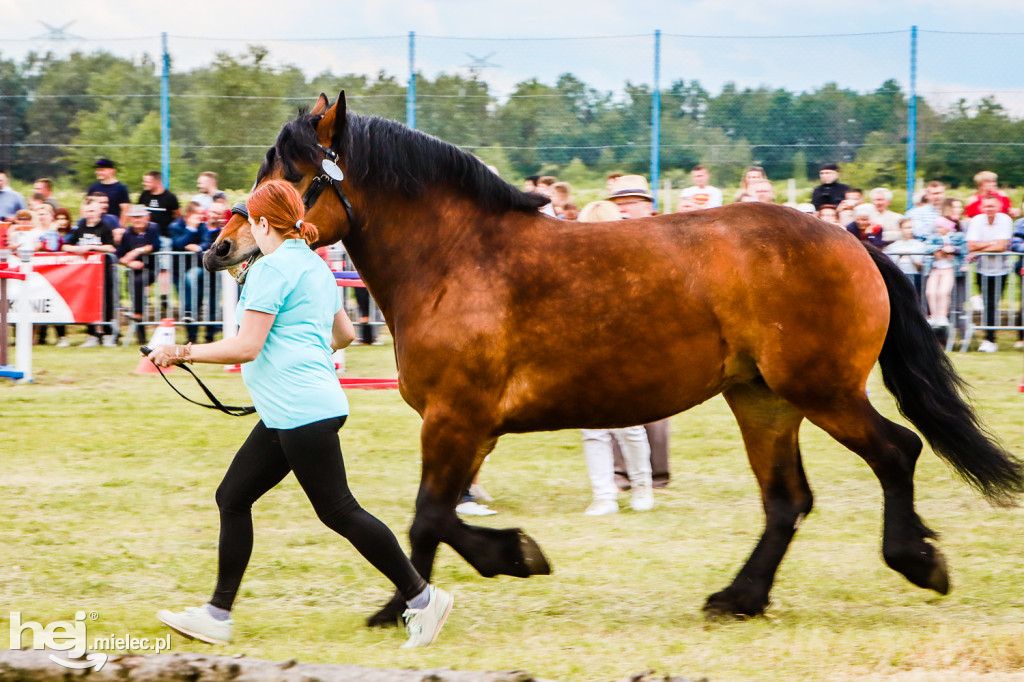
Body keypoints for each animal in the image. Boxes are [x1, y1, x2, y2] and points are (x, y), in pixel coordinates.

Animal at [203, 93, 1019, 622]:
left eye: (292, 172)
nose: (221, 247)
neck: (456, 260)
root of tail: (852, 237)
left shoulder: (456, 419)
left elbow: (429, 515)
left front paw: (487, 567)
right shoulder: (472, 428)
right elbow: (439, 514)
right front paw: (476, 570)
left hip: (822, 390)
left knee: (897, 451)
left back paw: (916, 560)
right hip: (763, 400)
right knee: (788, 500)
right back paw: (740, 598)